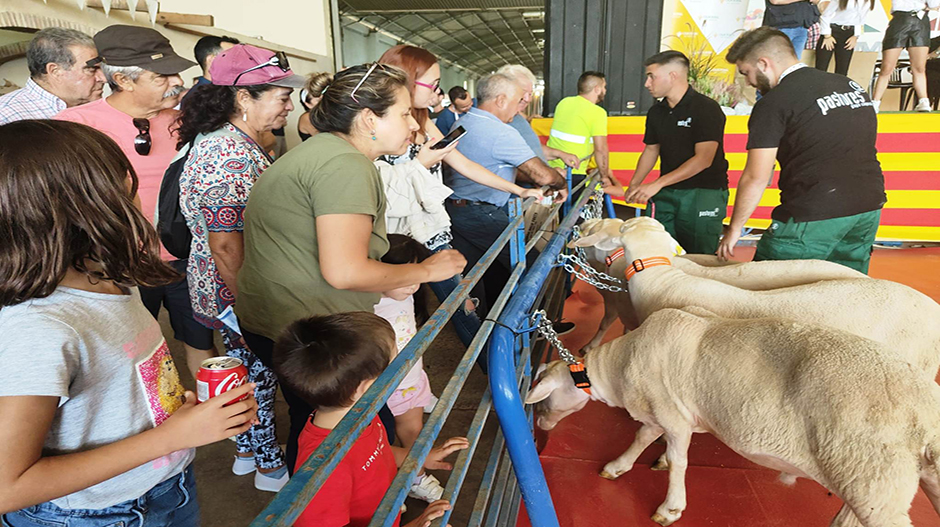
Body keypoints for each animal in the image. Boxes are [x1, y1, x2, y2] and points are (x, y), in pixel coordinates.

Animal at [524, 308, 940, 524]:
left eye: (542, 401)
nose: (540, 427)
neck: (618, 368)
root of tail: (927, 417)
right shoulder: (663, 411)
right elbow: (643, 437)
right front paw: (619, 466)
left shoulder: (672, 414)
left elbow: (678, 460)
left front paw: (670, 507)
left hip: (872, 481)